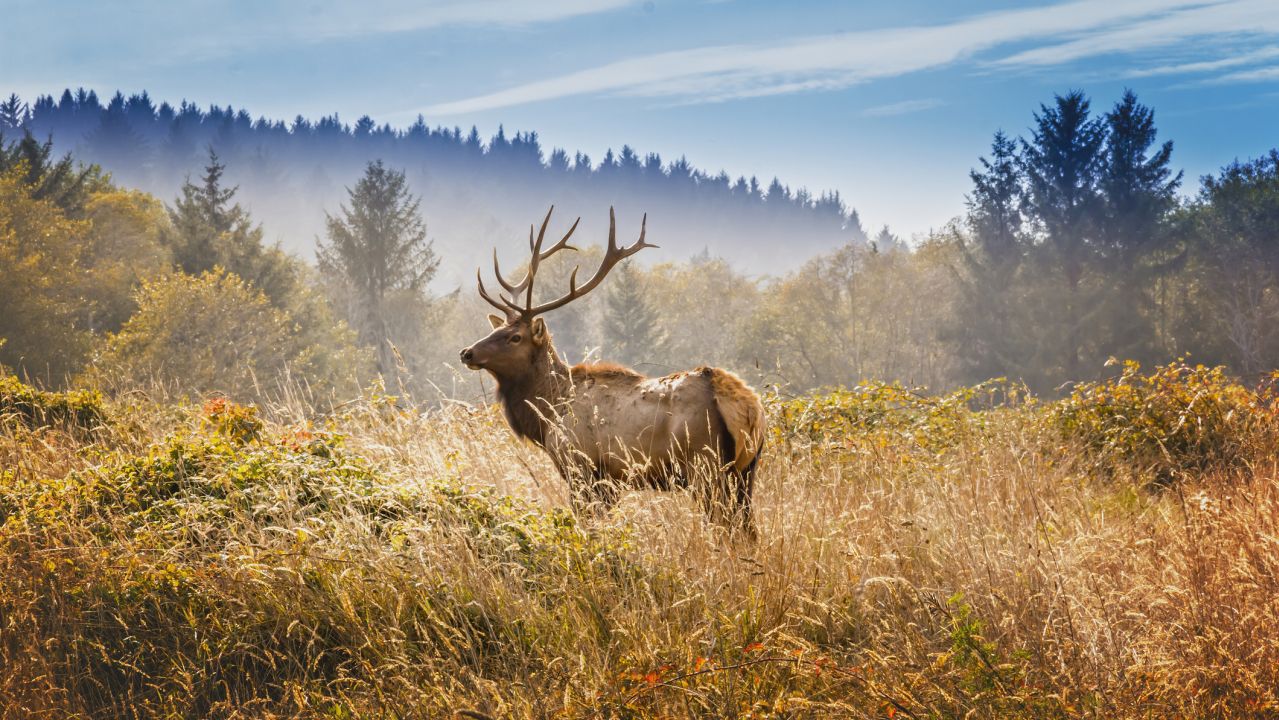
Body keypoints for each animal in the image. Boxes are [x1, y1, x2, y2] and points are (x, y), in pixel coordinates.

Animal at [460, 205, 762, 537]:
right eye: (496, 328)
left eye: (515, 337)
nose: (467, 352)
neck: (549, 411)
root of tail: (747, 405)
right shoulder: (611, 480)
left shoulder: (581, 465)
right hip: (746, 471)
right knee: (749, 530)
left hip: (705, 465)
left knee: (725, 525)